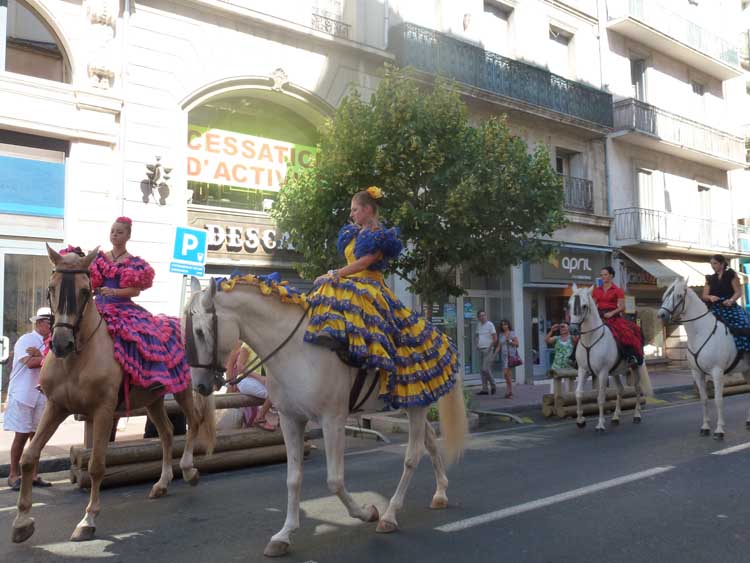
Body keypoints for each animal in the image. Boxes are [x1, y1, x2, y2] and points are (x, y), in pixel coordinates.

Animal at [11, 248, 217, 548]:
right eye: (51, 288)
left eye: (85, 291)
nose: (61, 343)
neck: (77, 358)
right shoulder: (56, 407)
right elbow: (28, 457)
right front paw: (22, 522)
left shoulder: (103, 412)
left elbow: (96, 466)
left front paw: (87, 521)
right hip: (153, 399)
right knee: (167, 433)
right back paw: (162, 483)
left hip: (182, 389)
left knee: (194, 421)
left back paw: (189, 470)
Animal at [185, 276, 468, 556]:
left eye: (198, 332)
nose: (199, 386)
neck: (296, 352)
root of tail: (439, 334)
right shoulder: (290, 420)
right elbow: (293, 479)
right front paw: (284, 535)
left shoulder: (332, 421)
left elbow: (334, 480)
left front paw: (367, 513)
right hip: (414, 401)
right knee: (429, 442)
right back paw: (440, 493)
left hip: (417, 403)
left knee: (412, 456)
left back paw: (389, 515)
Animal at [568, 286, 652, 432]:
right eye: (569, 304)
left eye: (584, 306)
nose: (572, 330)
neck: (591, 339)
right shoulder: (583, 370)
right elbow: (578, 394)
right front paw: (580, 420)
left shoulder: (602, 372)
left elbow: (601, 398)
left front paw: (600, 424)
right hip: (615, 371)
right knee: (620, 390)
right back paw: (615, 417)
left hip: (635, 367)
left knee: (637, 389)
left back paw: (636, 415)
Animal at [656, 278, 750, 440]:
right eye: (665, 294)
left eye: (679, 295)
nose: (661, 315)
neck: (701, 332)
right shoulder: (697, 373)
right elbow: (704, 399)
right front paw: (705, 427)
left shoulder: (717, 372)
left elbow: (718, 400)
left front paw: (719, 430)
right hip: (746, 370)